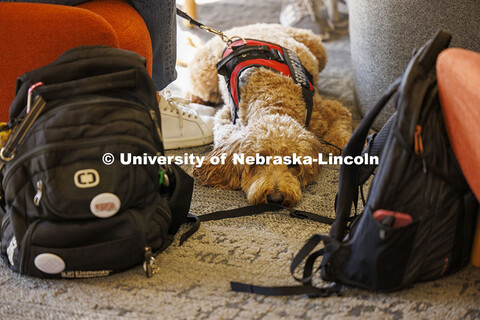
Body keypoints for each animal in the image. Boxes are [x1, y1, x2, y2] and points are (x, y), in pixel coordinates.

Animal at [189, 23, 350, 206]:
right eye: (259, 160)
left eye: (292, 162)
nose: (275, 198)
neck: (275, 100)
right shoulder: (227, 116)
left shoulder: (325, 110)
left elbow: (342, 118)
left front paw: (338, 142)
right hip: (204, 75)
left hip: (317, 48)